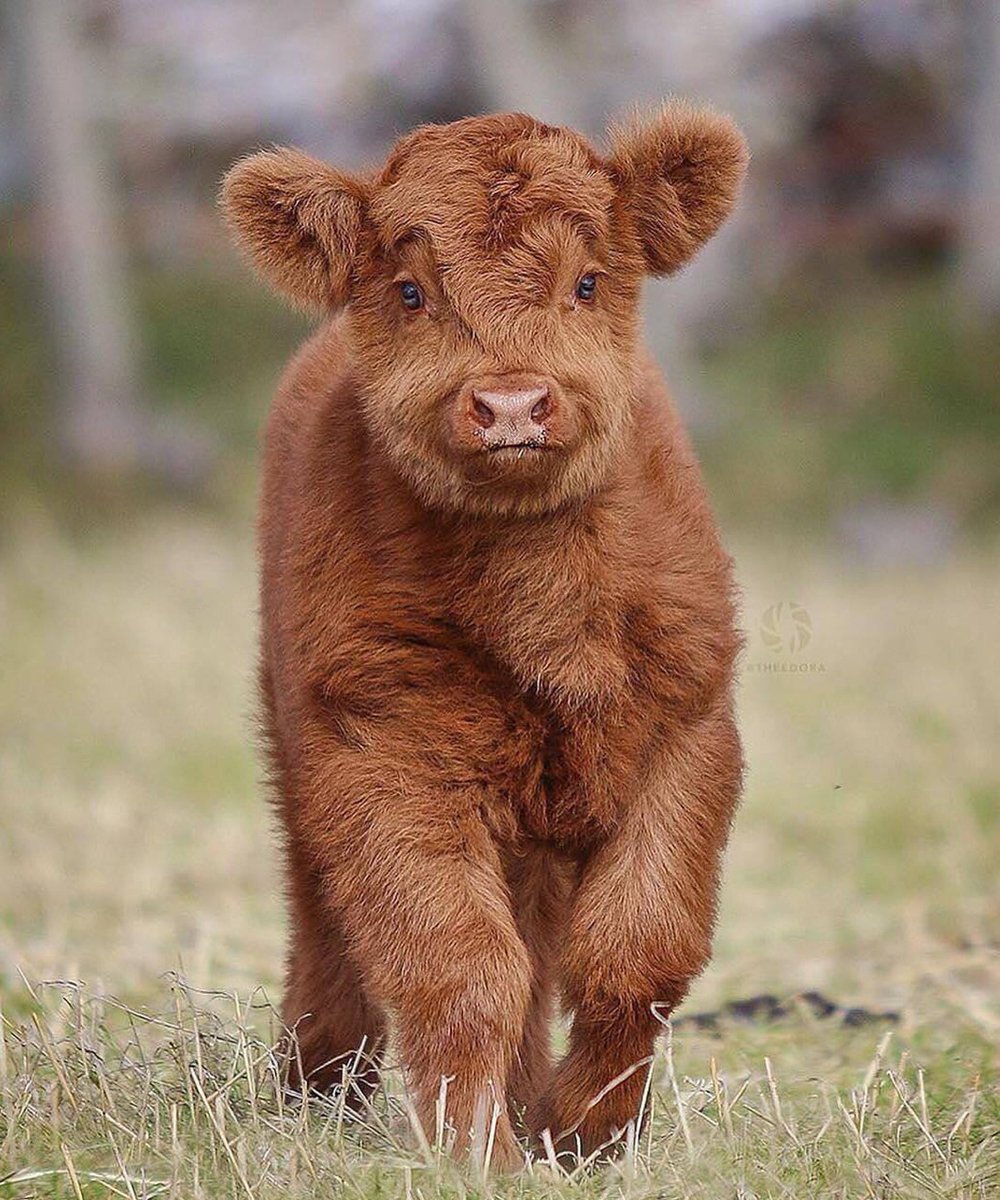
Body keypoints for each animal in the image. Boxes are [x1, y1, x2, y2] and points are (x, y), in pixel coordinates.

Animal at [221, 104, 747, 1171]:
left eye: (588, 280)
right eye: (411, 289)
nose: (511, 405)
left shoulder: (690, 733)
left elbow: (638, 951)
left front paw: (587, 1138)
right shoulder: (381, 754)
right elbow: (458, 966)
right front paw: (474, 1153)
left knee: (544, 951)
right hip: (300, 748)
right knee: (327, 920)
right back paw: (316, 1093)